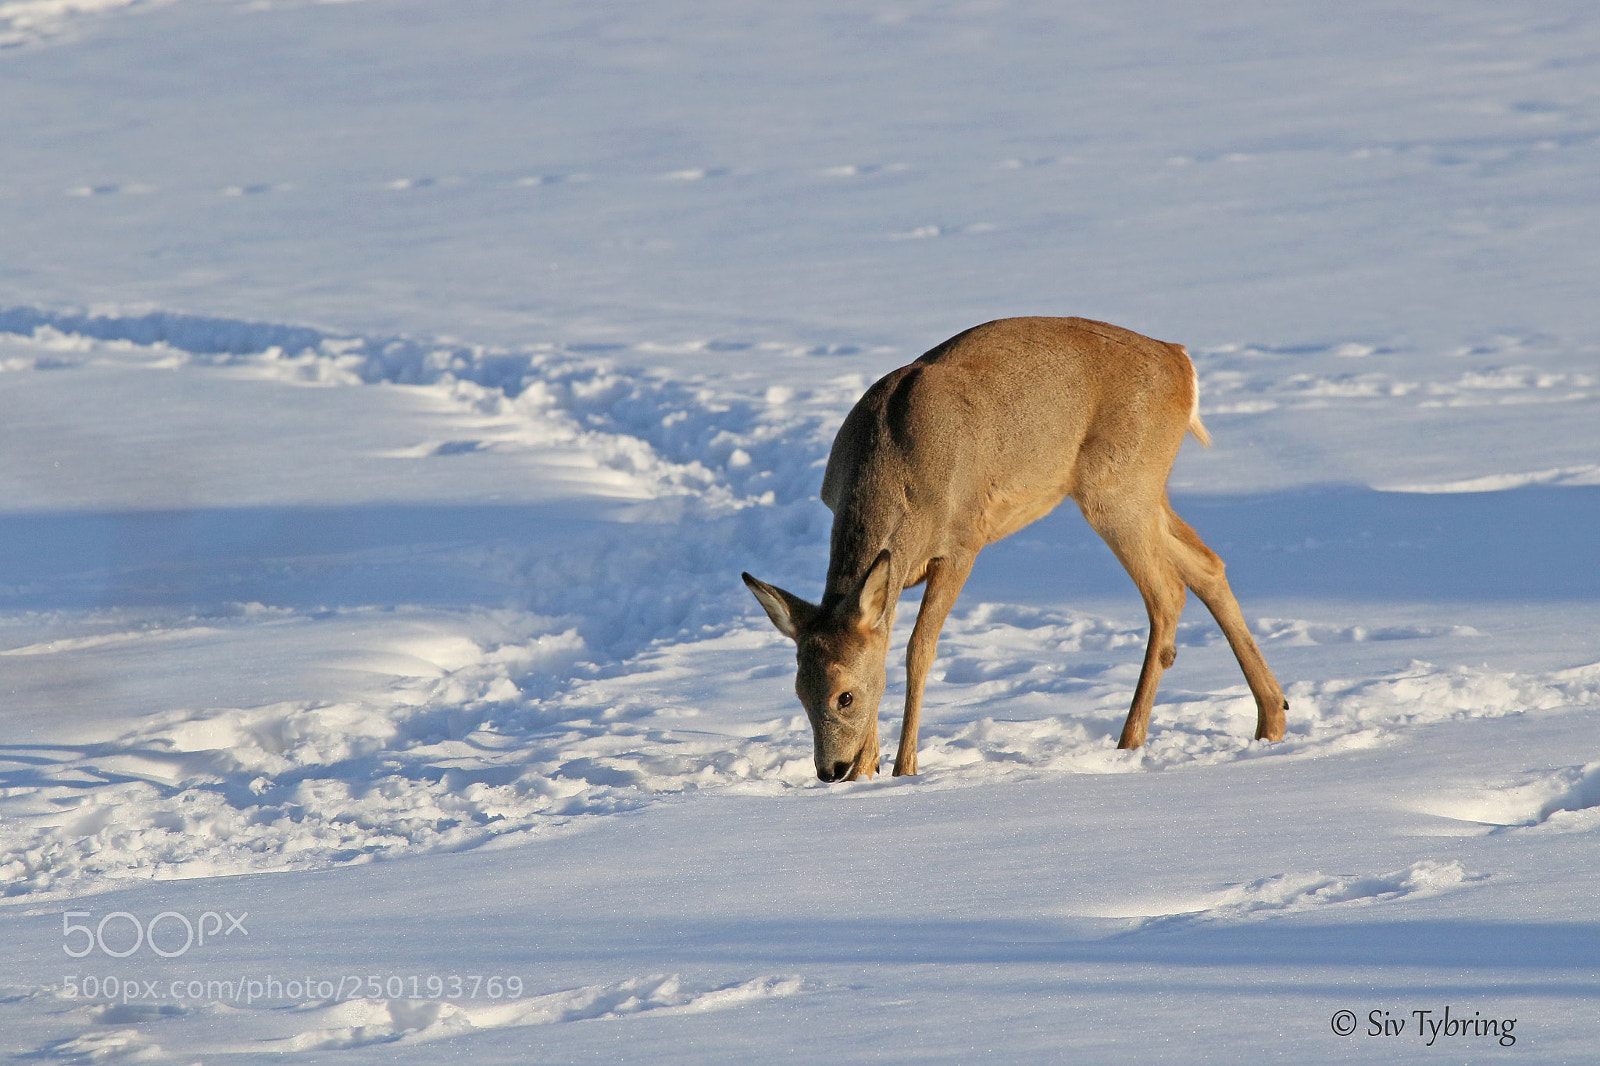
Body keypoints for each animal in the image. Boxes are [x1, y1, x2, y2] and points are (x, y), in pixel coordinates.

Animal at [742, 317, 1287, 782]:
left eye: (845, 697)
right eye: (798, 692)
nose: (829, 770)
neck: (893, 473)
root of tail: (1181, 363)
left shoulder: (963, 542)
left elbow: (919, 649)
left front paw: (903, 769)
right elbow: (885, 637)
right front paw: (867, 770)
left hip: (1117, 486)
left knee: (1167, 592)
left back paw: (1129, 742)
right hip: (1143, 490)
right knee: (1207, 564)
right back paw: (1272, 718)